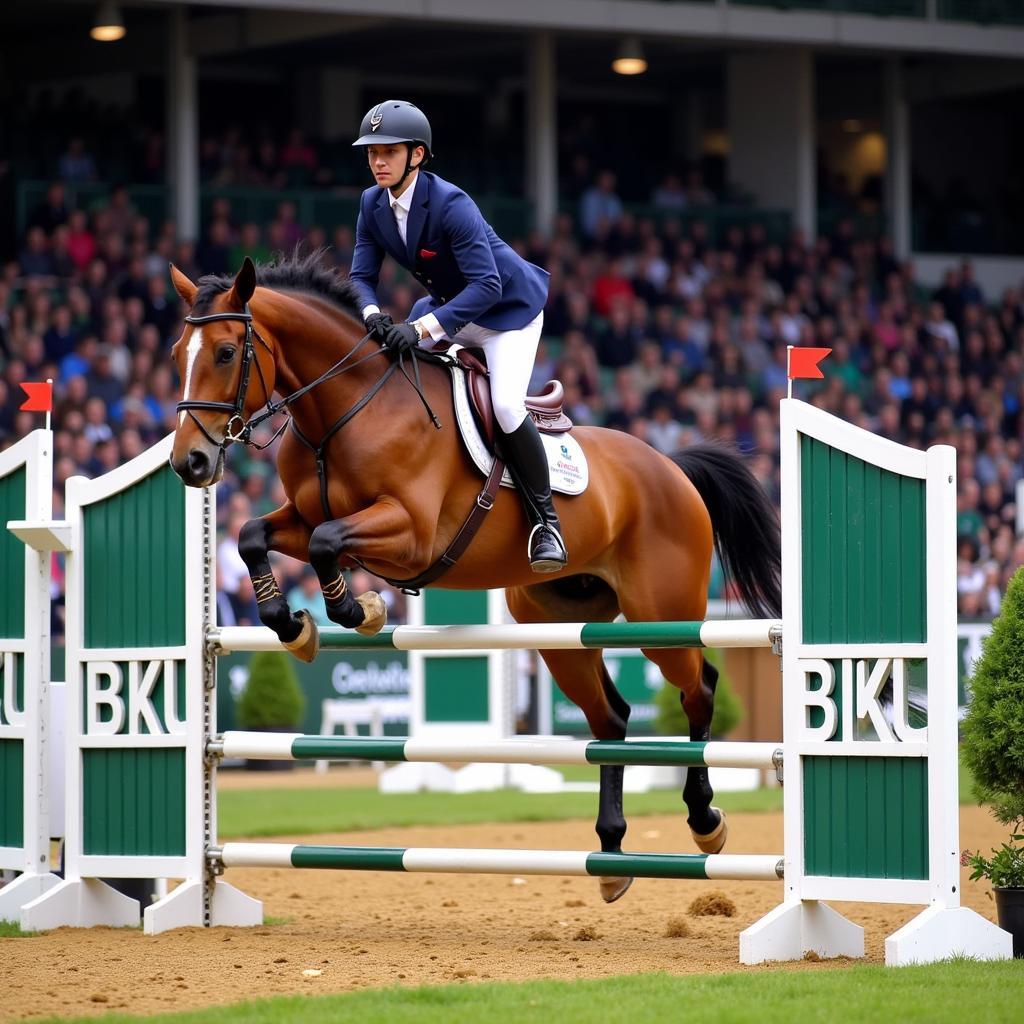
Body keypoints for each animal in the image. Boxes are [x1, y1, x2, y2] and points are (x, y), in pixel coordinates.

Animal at [167, 256, 778, 905]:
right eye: (179, 351)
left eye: (226, 353)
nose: (190, 463)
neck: (343, 410)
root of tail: (672, 467)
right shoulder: (301, 516)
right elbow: (254, 535)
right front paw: (292, 626)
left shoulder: (409, 533)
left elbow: (325, 543)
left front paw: (359, 610)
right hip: (557, 628)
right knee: (610, 718)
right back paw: (612, 854)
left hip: (660, 615)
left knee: (699, 689)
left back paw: (704, 820)